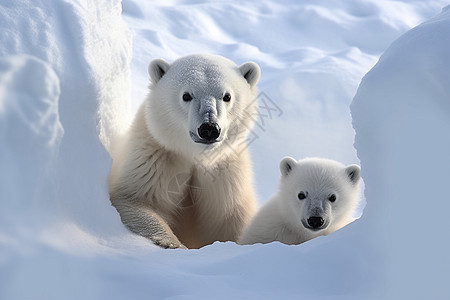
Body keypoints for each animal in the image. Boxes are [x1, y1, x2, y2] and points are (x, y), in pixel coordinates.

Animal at [108, 55, 260, 250]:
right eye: (186, 95)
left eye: (227, 96)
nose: (209, 128)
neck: (194, 155)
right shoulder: (155, 160)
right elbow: (137, 201)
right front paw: (172, 243)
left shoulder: (226, 176)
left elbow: (230, 220)